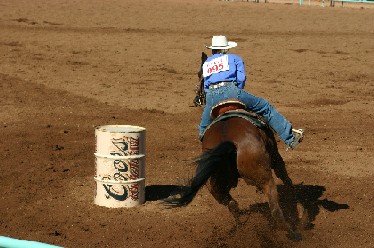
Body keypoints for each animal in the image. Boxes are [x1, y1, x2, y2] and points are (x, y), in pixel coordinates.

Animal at [164, 52, 300, 240]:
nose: (195, 98)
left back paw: (241, 228)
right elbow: (283, 173)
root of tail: (228, 142)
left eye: (199, 74)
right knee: (274, 209)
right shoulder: (274, 155)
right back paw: (293, 233)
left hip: (215, 186)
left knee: (233, 205)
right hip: (265, 178)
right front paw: (293, 192)